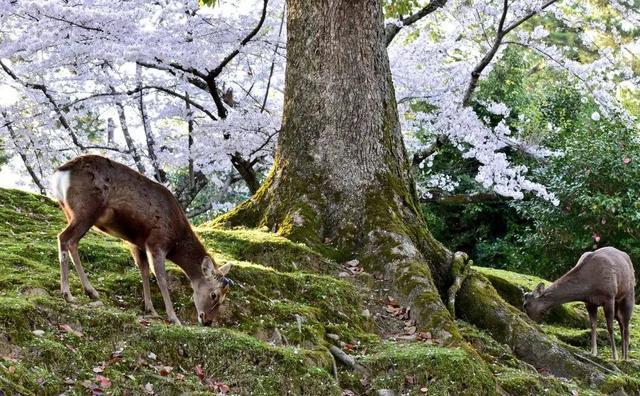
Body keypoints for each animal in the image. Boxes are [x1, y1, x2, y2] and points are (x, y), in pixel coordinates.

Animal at [52, 155, 232, 324]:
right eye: (214, 295)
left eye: (225, 298)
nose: (207, 320)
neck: (176, 239)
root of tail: (60, 172)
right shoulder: (157, 242)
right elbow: (161, 279)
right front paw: (174, 318)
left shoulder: (138, 244)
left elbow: (144, 271)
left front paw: (150, 309)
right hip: (85, 209)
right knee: (64, 238)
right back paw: (67, 293)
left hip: (69, 211)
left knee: (73, 242)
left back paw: (91, 291)